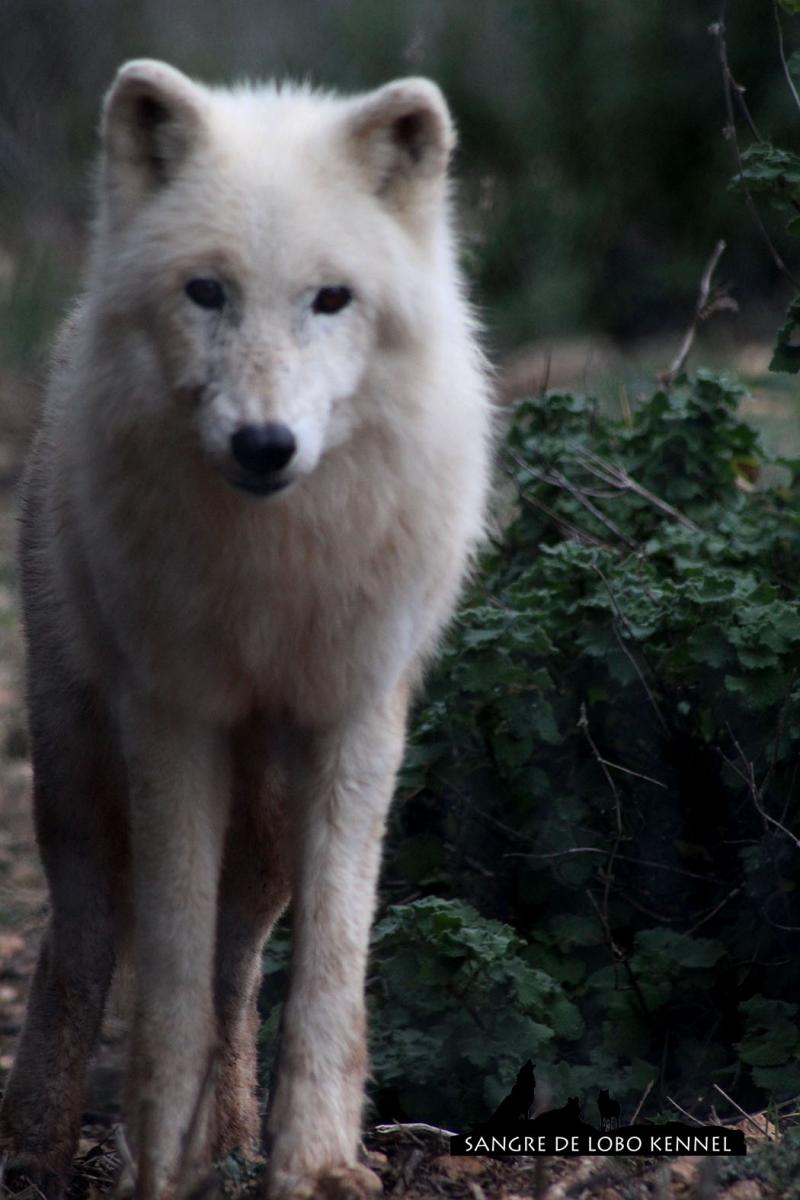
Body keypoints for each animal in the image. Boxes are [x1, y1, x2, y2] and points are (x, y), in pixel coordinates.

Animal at [0, 60, 491, 1200]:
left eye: (330, 299)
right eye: (206, 292)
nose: (265, 445)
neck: (273, 574)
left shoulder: (355, 720)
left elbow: (329, 965)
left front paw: (310, 1162)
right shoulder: (174, 717)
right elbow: (168, 973)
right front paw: (153, 1166)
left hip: (265, 822)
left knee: (238, 962)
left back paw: (226, 1135)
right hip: (77, 767)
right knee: (84, 943)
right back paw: (39, 1146)